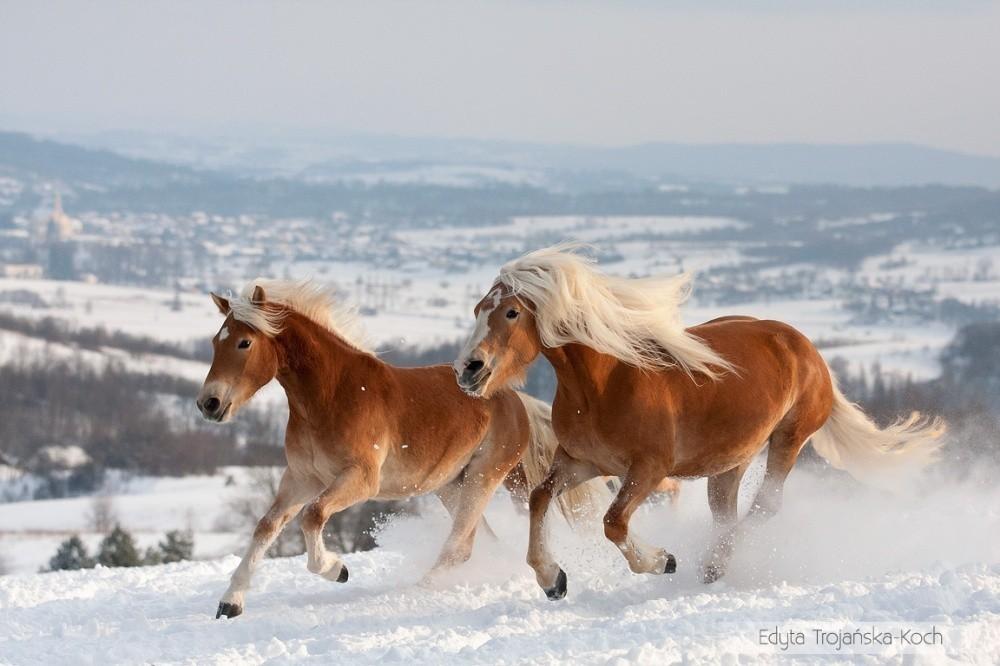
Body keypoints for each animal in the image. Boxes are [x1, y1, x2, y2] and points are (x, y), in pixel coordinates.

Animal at [194, 276, 600, 616]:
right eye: (215, 342)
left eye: (245, 342)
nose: (209, 404)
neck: (330, 395)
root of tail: (516, 400)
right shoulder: (301, 478)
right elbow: (267, 526)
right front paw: (230, 603)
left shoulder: (360, 480)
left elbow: (312, 515)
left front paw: (337, 569)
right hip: (450, 486)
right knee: (475, 541)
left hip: (483, 477)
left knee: (458, 546)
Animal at [456, 244, 944, 596]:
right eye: (478, 309)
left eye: (511, 312)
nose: (468, 370)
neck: (603, 383)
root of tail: (806, 348)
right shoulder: (582, 462)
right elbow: (540, 498)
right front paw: (552, 579)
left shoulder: (649, 470)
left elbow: (613, 522)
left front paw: (662, 561)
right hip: (730, 462)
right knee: (725, 513)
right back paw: (713, 569)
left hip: (789, 438)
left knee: (765, 506)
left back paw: (712, 564)